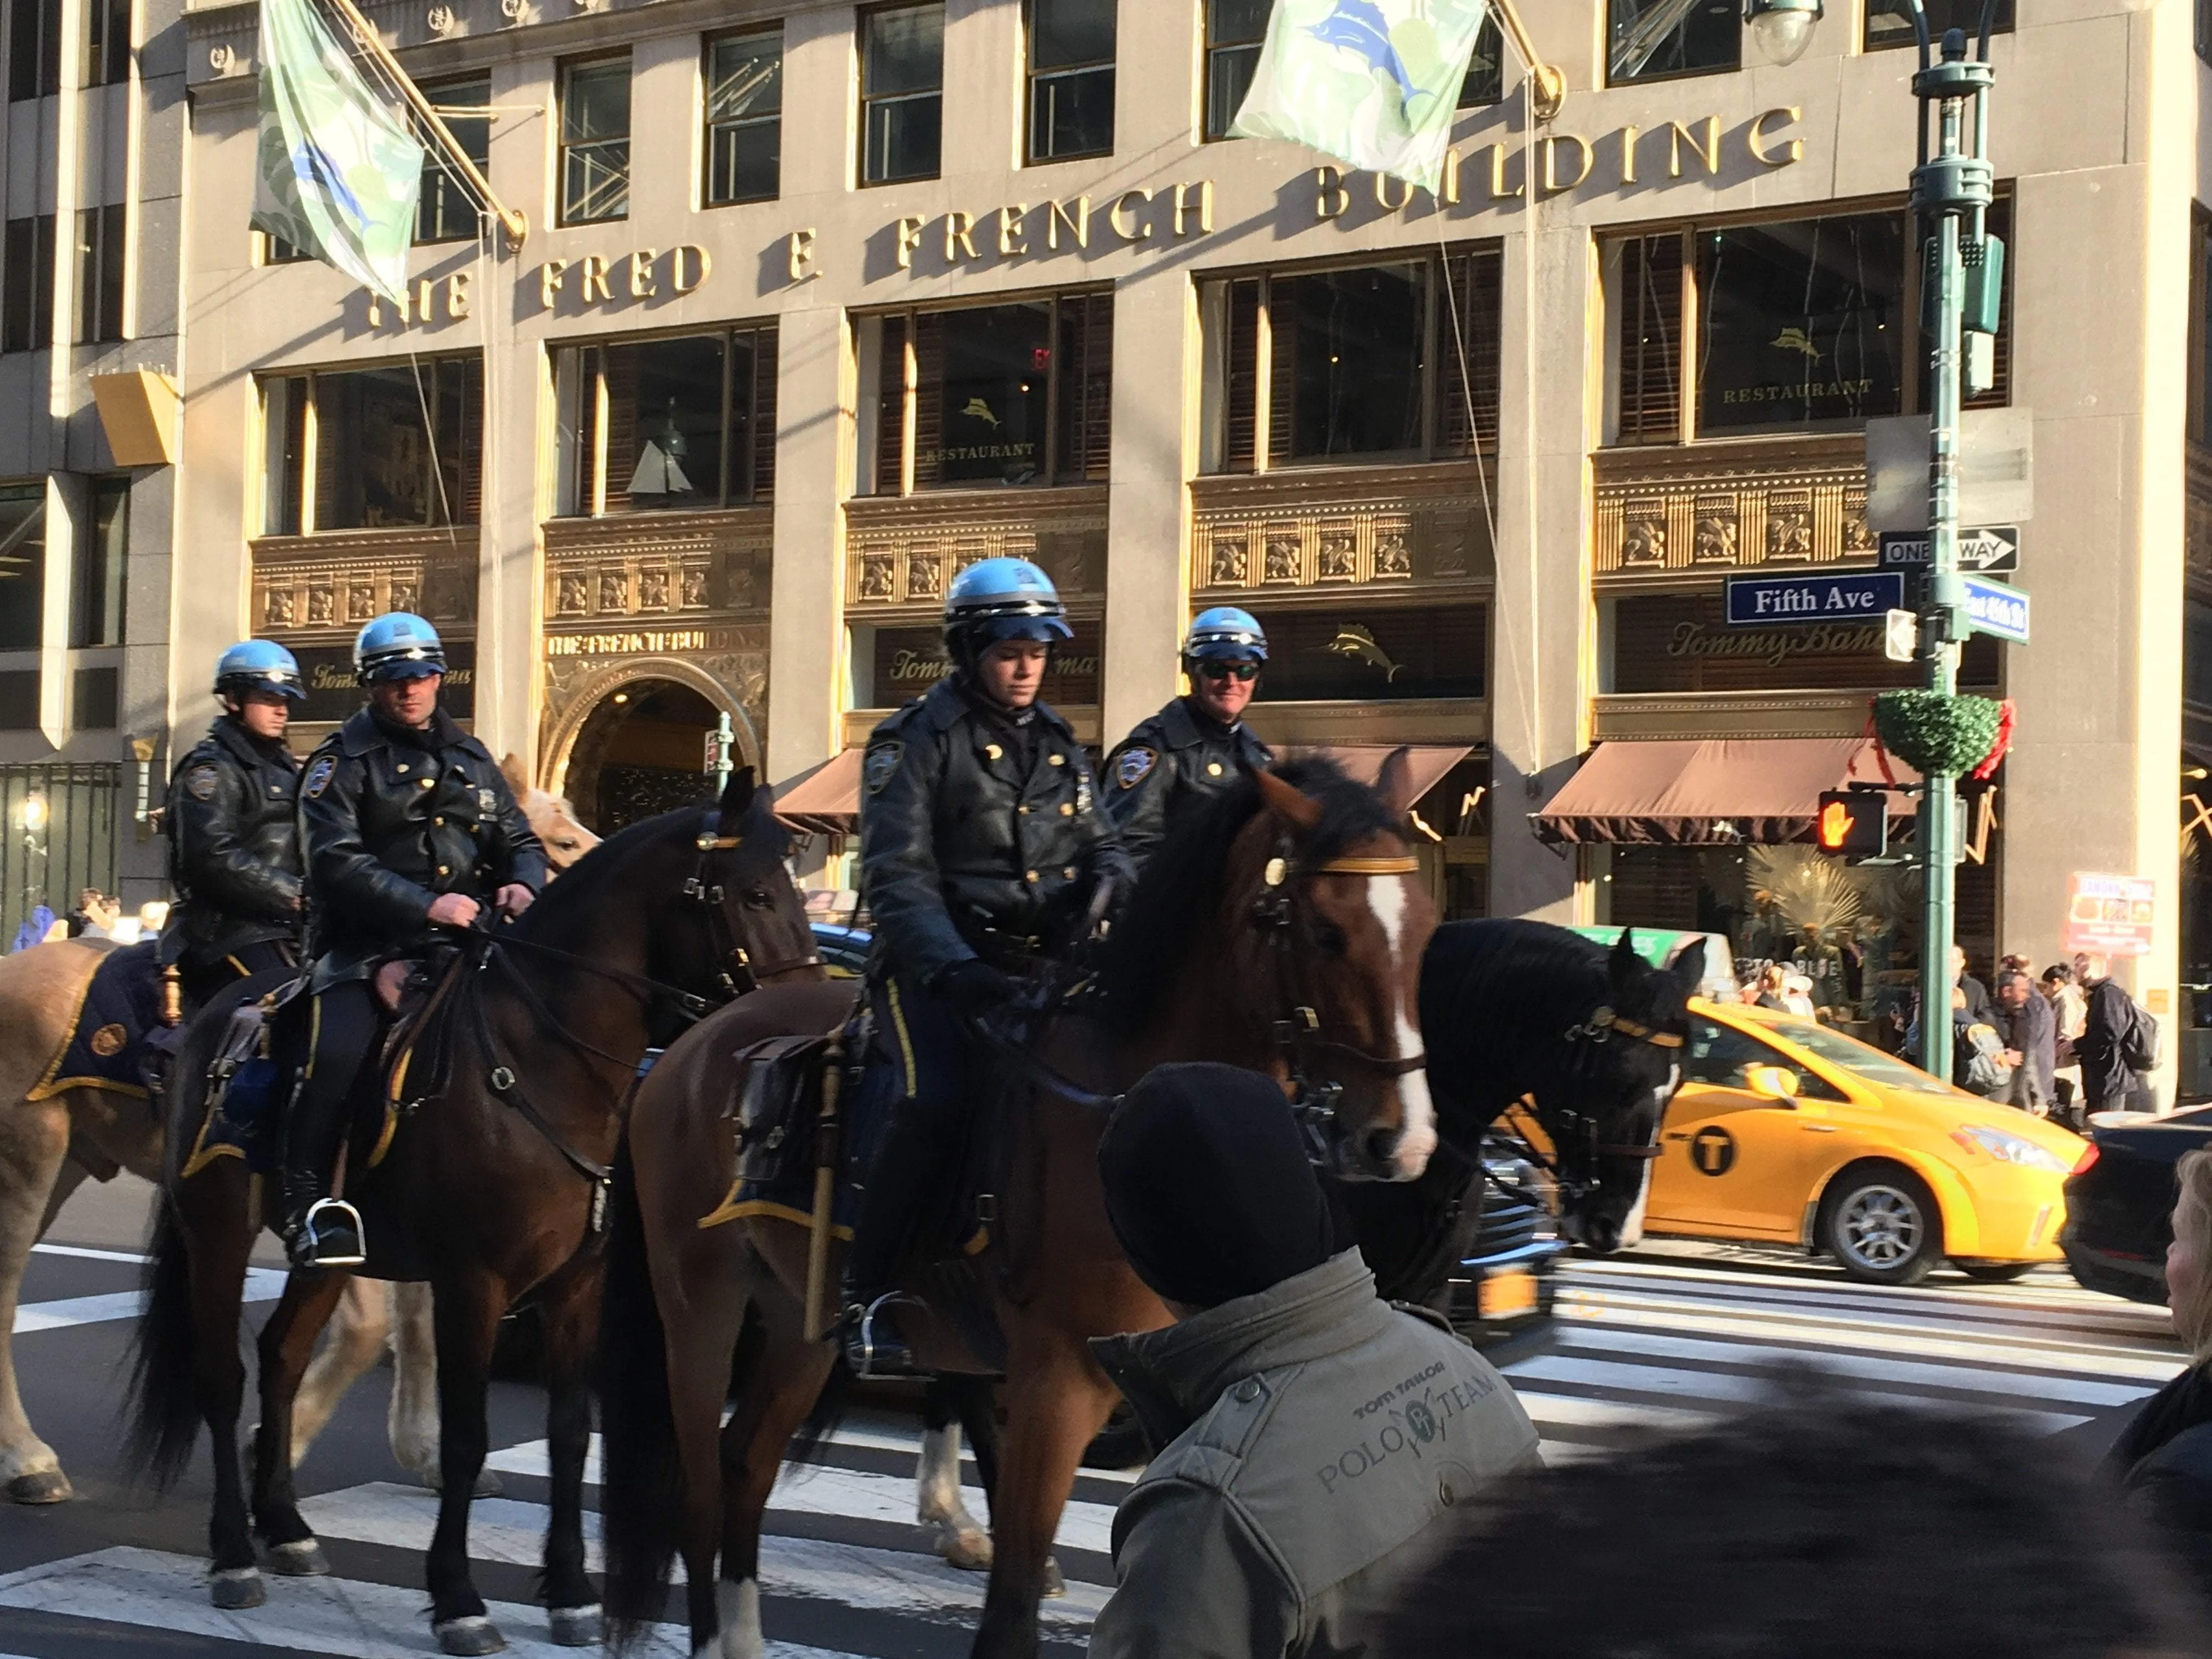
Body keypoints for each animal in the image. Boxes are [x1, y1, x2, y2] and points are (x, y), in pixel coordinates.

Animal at [0, 761, 597, 1513]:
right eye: (564, 842)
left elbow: (420, 1325)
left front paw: (426, 1450)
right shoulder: (336, 1206)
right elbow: (369, 1329)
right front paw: (273, 1443)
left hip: (67, 1163)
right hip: (28, 1162)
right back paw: (29, 1459)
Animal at [597, 756, 1424, 1659]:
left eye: (1424, 929)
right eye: (1326, 934)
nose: (1401, 1140)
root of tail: (689, 1044)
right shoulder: (1058, 1383)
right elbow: (1014, 1602)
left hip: (796, 1319)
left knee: (745, 1462)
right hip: (700, 1303)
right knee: (700, 1486)